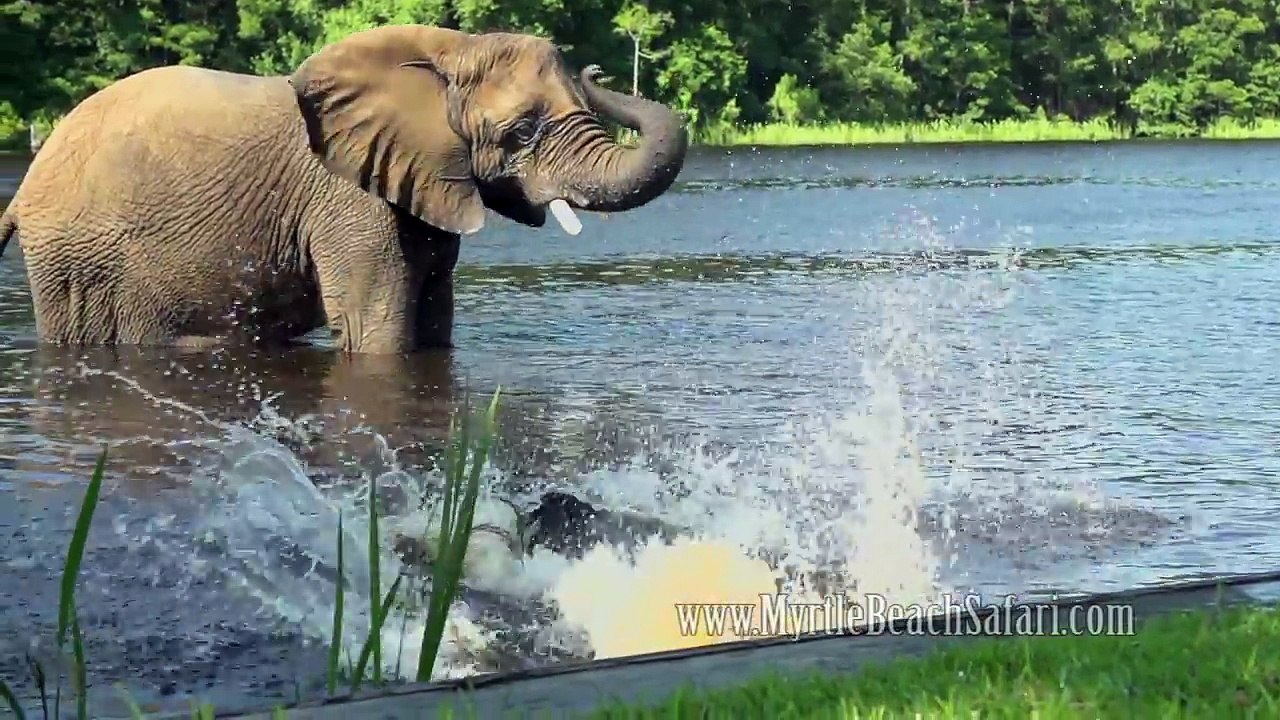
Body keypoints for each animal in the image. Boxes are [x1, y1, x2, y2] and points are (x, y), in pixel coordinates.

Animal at [0, 24, 688, 353]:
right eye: (520, 132)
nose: (598, 66)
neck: (445, 55)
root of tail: (23, 191)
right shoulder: (350, 201)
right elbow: (377, 331)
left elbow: (434, 324)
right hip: (80, 264)